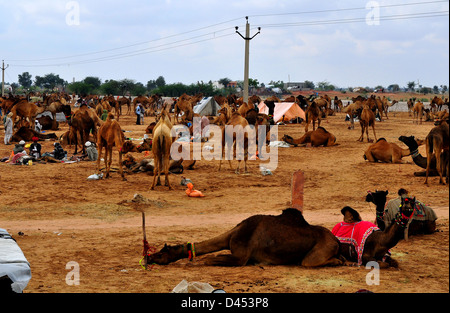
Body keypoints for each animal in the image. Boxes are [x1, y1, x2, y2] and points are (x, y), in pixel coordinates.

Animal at [144, 207, 344, 266]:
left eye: (161, 253)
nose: (148, 257)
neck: (231, 235)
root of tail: (335, 240)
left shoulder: (241, 257)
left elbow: (210, 259)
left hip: (320, 249)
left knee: (309, 262)